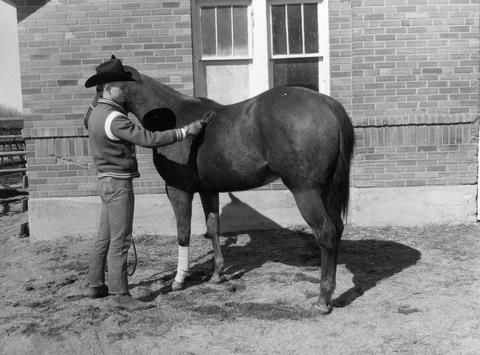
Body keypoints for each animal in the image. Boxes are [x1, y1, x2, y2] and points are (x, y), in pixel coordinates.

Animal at [89, 67, 352, 314]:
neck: (172, 117)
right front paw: (216, 275)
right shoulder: (209, 190)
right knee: (337, 228)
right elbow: (213, 228)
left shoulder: (178, 190)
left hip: (306, 191)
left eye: (99, 88)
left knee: (326, 233)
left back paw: (323, 300)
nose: (88, 120)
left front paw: (178, 281)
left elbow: (183, 233)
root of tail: (328, 105)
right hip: (325, 189)